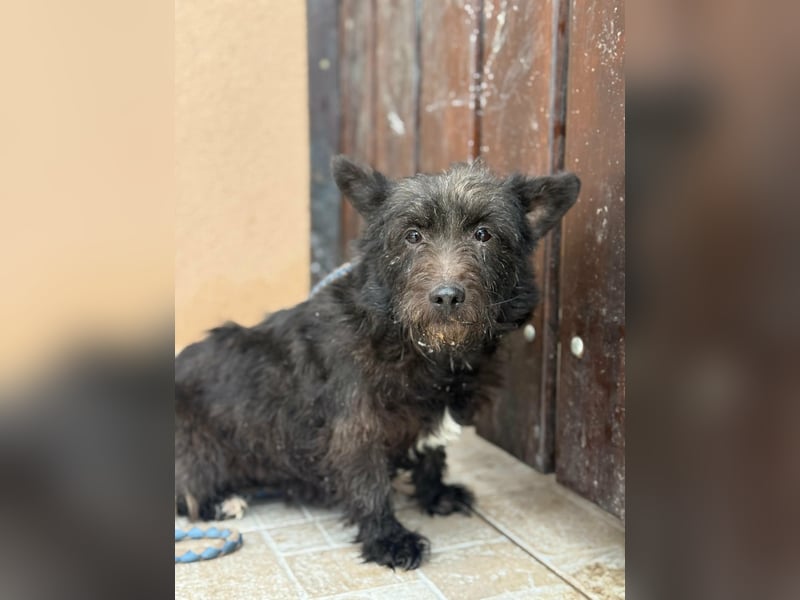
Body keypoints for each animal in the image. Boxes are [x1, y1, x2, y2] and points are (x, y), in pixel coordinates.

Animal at [175, 156, 580, 569]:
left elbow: (432, 454)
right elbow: (370, 484)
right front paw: (388, 539)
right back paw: (222, 501)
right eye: (412, 235)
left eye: (484, 234)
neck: (417, 345)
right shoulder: (357, 425)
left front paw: (435, 494)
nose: (447, 297)